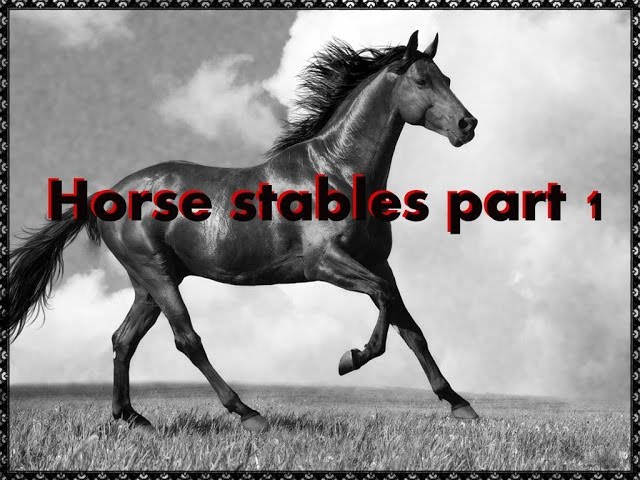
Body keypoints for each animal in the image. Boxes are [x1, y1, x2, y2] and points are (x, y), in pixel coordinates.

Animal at [8, 30, 479, 433]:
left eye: (446, 78)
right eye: (421, 80)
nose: (467, 125)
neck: (338, 171)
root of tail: (108, 194)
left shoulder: (378, 262)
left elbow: (410, 327)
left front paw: (459, 403)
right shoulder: (326, 264)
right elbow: (382, 303)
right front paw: (351, 358)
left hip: (148, 283)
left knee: (124, 340)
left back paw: (133, 418)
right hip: (156, 274)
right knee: (187, 339)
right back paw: (247, 413)